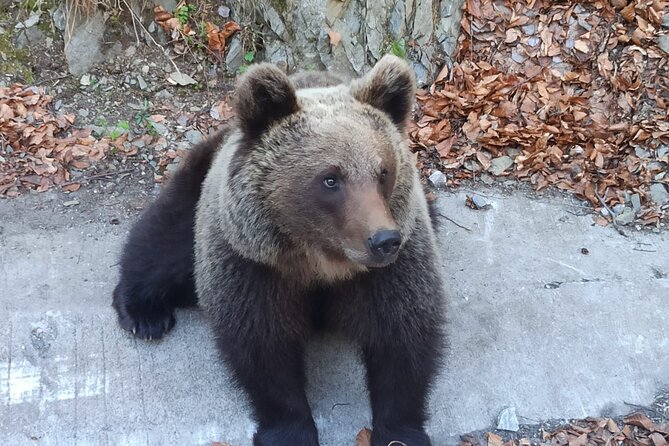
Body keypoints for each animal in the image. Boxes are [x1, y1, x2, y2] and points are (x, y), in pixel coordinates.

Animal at [112, 55, 446, 446]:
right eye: (330, 179)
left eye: (383, 172)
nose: (383, 240)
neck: (321, 262)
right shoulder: (253, 264)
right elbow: (264, 346)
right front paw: (290, 430)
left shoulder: (393, 266)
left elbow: (402, 336)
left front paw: (400, 432)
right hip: (202, 191)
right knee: (166, 240)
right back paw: (144, 313)